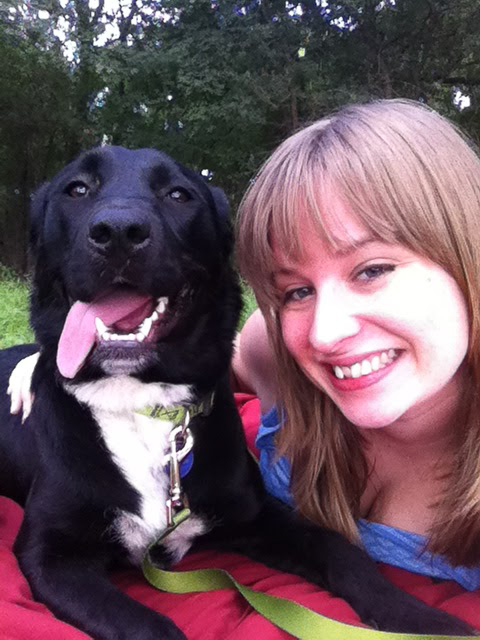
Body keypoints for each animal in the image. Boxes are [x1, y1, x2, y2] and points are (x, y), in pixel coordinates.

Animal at [0, 146, 472, 640]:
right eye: (77, 189)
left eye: (178, 194)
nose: (118, 232)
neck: (140, 403)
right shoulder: (52, 557)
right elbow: (148, 625)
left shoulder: (258, 515)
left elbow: (342, 552)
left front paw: (422, 619)